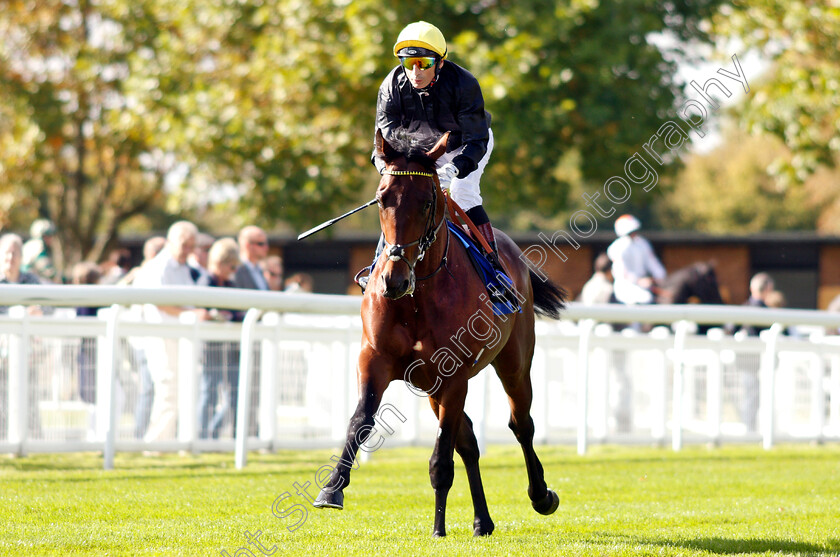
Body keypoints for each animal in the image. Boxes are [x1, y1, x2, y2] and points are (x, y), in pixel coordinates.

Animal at [312, 128, 568, 536]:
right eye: (382, 198)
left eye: (427, 201)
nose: (394, 280)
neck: (418, 296)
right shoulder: (375, 359)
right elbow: (361, 420)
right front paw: (332, 487)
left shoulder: (454, 375)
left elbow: (441, 456)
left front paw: (438, 528)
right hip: (430, 385)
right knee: (470, 441)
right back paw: (482, 520)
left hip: (513, 362)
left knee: (520, 424)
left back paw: (540, 495)